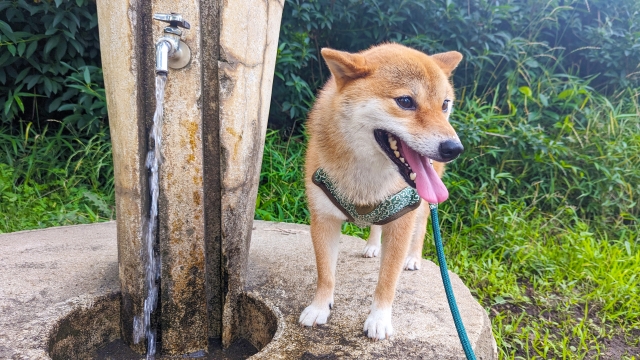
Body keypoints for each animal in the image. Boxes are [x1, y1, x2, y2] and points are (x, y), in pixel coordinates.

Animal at [298, 43, 462, 340]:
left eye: (445, 104)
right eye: (406, 101)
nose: (453, 148)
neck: (367, 175)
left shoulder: (403, 220)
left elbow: (387, 280)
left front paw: (379, 320)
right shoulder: (323, 218)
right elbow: (325, 274)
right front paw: (319, 308)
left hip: (424, 204)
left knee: (422, 227)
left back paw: (413, 258)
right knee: (376, 222)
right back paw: (373, 245)